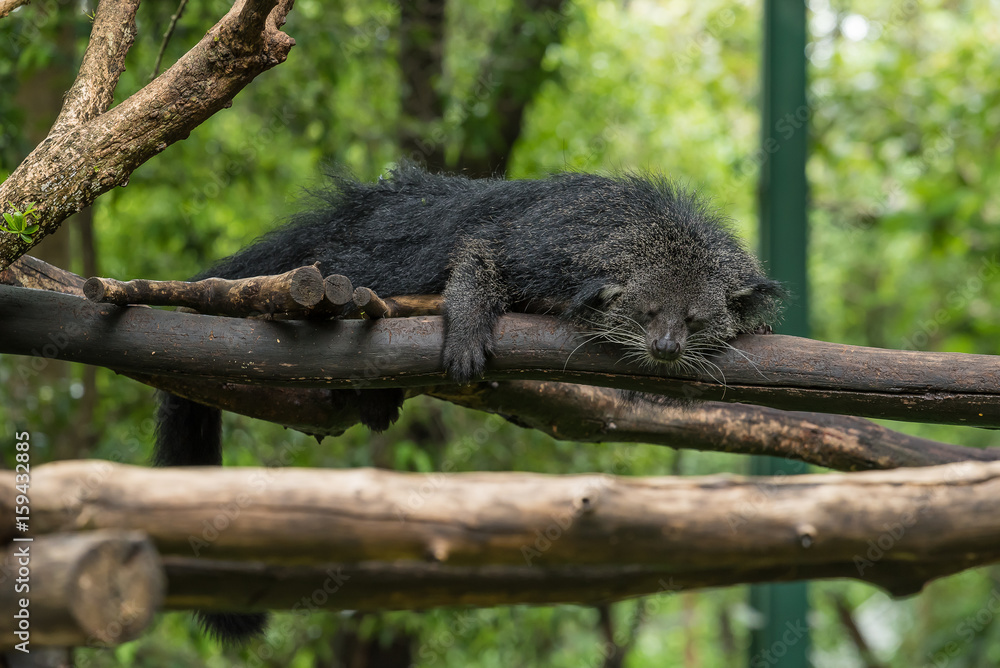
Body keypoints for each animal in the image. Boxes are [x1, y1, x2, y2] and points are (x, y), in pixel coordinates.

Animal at [155, 162, 783, 643]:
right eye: (648, 312)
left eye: (693, 320)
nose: (665, 347)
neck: (650, 227)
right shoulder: (535, 245)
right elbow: (478, 253)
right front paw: (468, 319)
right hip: (349, 264)